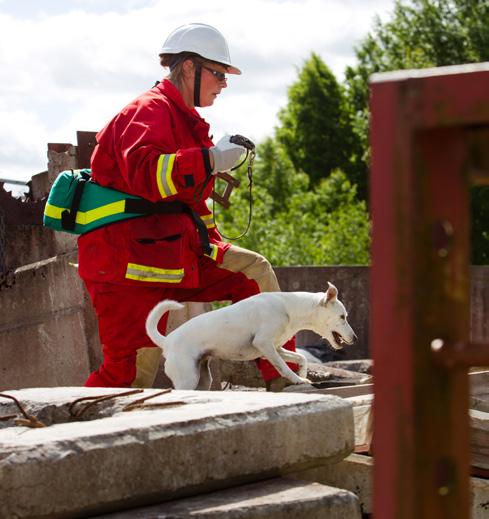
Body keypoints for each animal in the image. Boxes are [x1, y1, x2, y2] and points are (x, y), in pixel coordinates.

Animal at [145, 284, 354, 390]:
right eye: (342, 317)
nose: (355, 338)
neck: (289, 308)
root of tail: (168, 340)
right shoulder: (264, 344)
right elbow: (283, 367)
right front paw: (297, 379)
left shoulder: (275, 348)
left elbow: (300, 357)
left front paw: (302, 375)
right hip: (187, 378)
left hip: (202, 378)